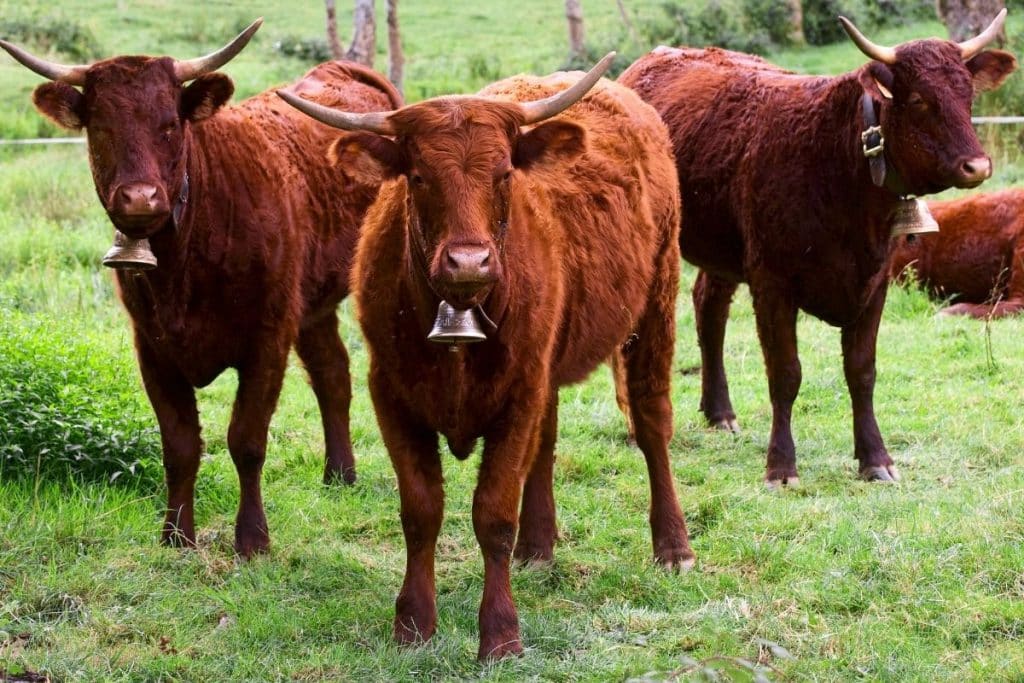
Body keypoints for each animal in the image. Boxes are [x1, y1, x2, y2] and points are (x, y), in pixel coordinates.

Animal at [1, 21, 403, 557]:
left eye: (170, 124)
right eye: (101, 127)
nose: (139, 199)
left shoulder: (266, 340)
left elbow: (246, 440)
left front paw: (252, 540)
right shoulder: (152, 348)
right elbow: (180, 446)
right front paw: (175, 535)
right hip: (312, 307)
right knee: (332, 372)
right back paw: (340, 474)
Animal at [277, 54, 692, 659]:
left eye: (503, 174)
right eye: (419, 176)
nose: (468, 262)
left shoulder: (517, 396)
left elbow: (494, 514)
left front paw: (499, 633)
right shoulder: (393, 394)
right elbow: (421, 510)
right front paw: (413, 624)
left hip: (656, 305)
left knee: (652, 420)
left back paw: (673, 546)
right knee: (548, 440)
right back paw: (539, 546)